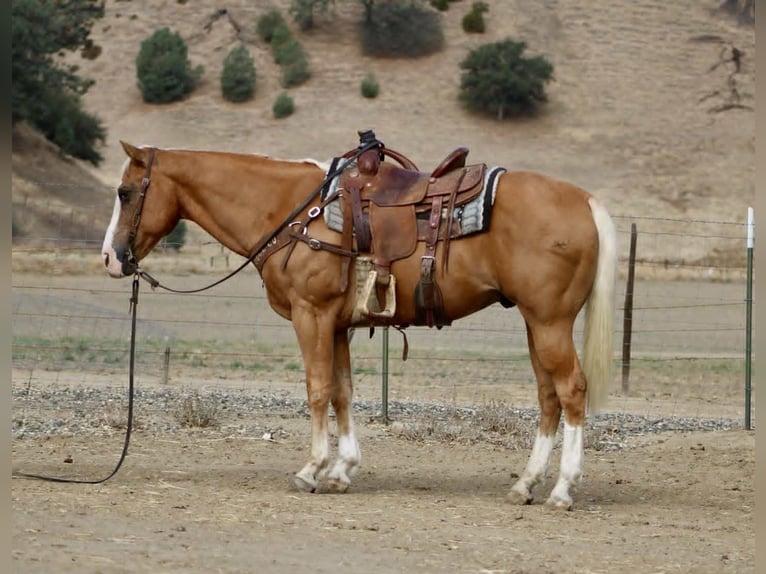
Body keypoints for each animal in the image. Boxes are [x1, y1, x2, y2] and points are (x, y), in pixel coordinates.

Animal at [101, 135, 617, 510]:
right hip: (536, 324)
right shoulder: (337, 324)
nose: (111, 257)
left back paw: (562, 489)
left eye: (125, 193)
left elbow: (317, 389)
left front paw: (311, 469)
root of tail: (585, 201)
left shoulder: (311, 314)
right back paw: (526, 484)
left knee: (571, 389)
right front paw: (342, 469)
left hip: (550, 323)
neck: (294, 211)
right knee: (548, 396)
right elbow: (343, 392)